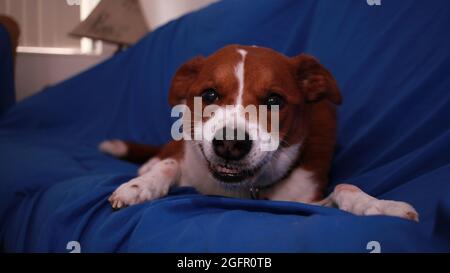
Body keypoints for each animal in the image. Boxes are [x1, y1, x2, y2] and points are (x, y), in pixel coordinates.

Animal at [98, 44, 418, 221]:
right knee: (166, 154)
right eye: (210, 94)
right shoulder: (191, 166)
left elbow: (344, 187)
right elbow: (169, 166)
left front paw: (378, 205)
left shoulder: (306, 201)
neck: (244, 189)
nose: (230, 143)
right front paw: (140, 186)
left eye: (274, 100)